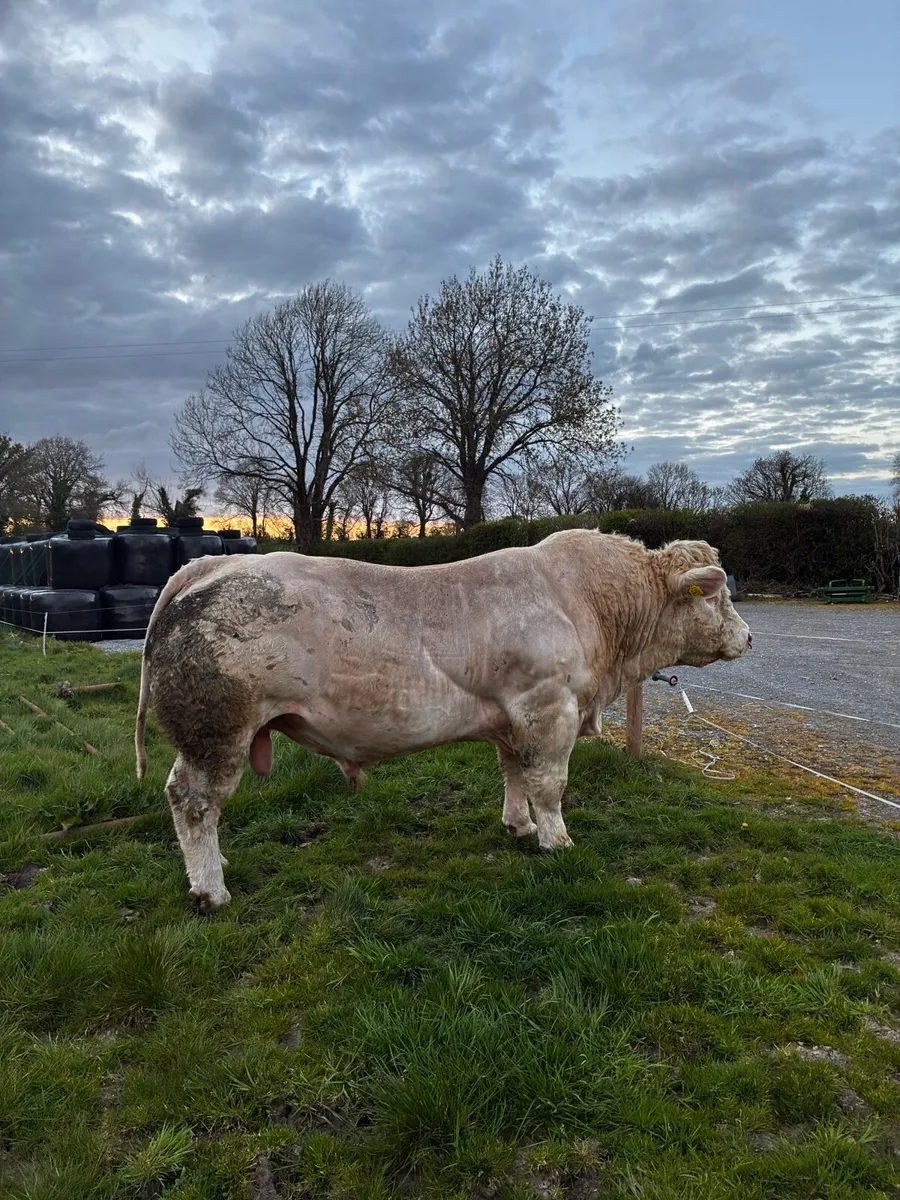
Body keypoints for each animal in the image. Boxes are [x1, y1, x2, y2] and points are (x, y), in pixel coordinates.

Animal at [135, 531, 750, 912]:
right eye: (716, 596)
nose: (748, 636)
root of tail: (214, 564)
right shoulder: (549, 708)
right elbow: (549, 784)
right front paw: (557, 839)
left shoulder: (511, 715)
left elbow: (513, 773)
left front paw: (518, 826)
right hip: (216, 732)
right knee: (192, 801)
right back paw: (210, 890)